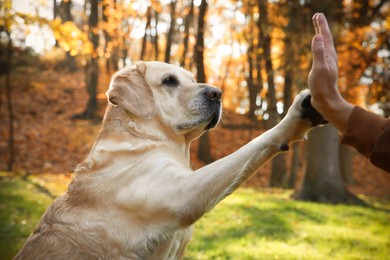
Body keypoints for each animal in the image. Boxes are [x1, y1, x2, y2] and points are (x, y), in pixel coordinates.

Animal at [14, 61, 326, 260]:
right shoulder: (183, 195)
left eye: (192, 79)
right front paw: (294, 118)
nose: (217, 93)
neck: (148, 138)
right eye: (169, 81)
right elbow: (252, 146)